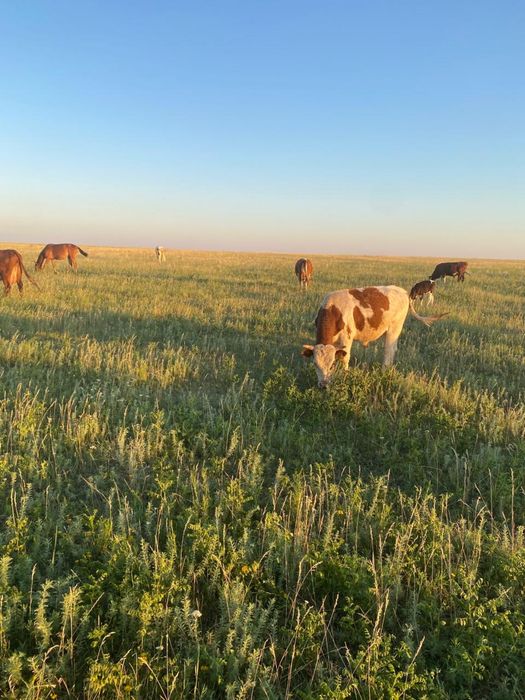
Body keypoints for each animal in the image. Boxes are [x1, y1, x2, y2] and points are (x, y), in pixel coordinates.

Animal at [302, 286, 447, 388]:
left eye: (331, 365)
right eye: (315, 364)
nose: (323, 385)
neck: (333, 309)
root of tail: (403, 292)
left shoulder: (347, 338)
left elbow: (345, 358)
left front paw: (345, 376)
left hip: (395, 328)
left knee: (389, 351)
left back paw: (384, 371)